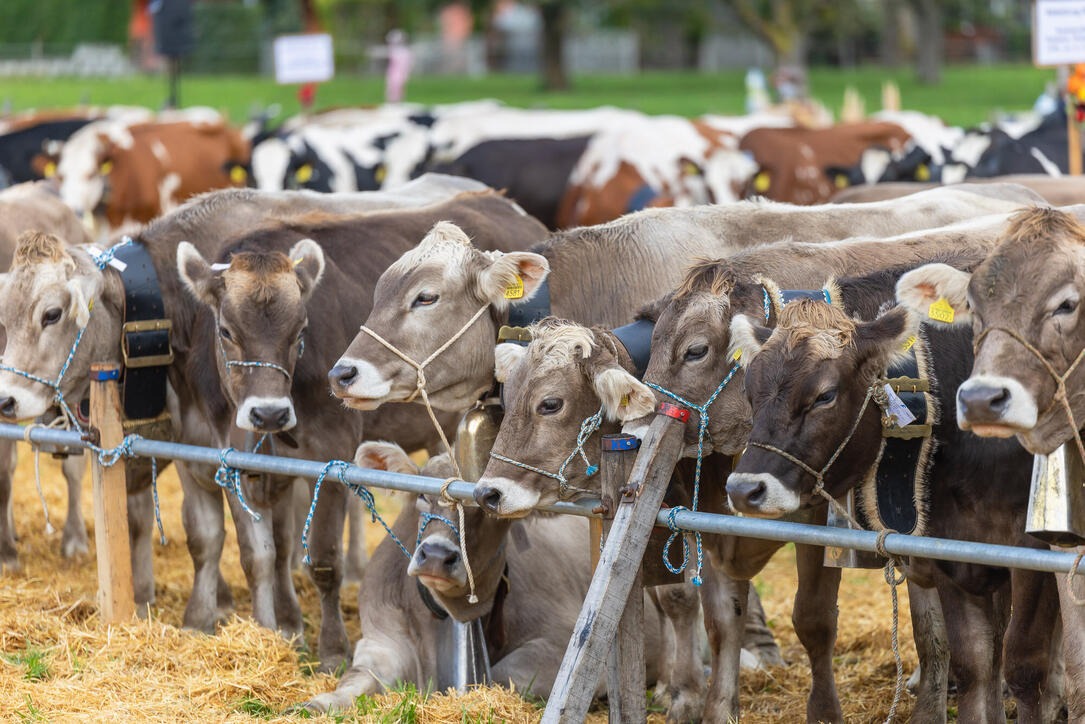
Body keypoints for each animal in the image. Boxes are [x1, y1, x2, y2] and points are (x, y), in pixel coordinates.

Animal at [724, 299, 1054, 720]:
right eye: (749, 392)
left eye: (825, 396)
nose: (742, 489)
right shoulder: (951, 551)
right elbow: (973, 662)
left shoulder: (1033, 554)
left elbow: (1024, 665)